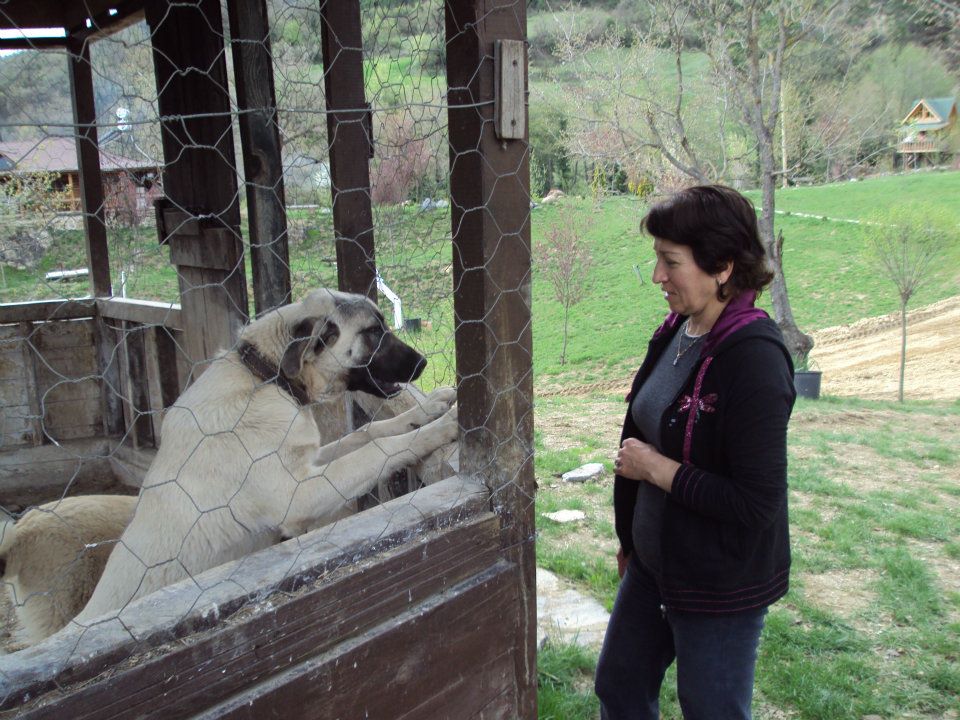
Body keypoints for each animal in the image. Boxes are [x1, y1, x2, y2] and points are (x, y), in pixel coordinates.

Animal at [75, 290, 458, 628]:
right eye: (373, 332)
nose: (424, 362)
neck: (265, 379)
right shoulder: (300, 493)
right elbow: (379, 448)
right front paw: (440, 428)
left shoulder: (310, 460)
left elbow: (369, 431)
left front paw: (428, 409)